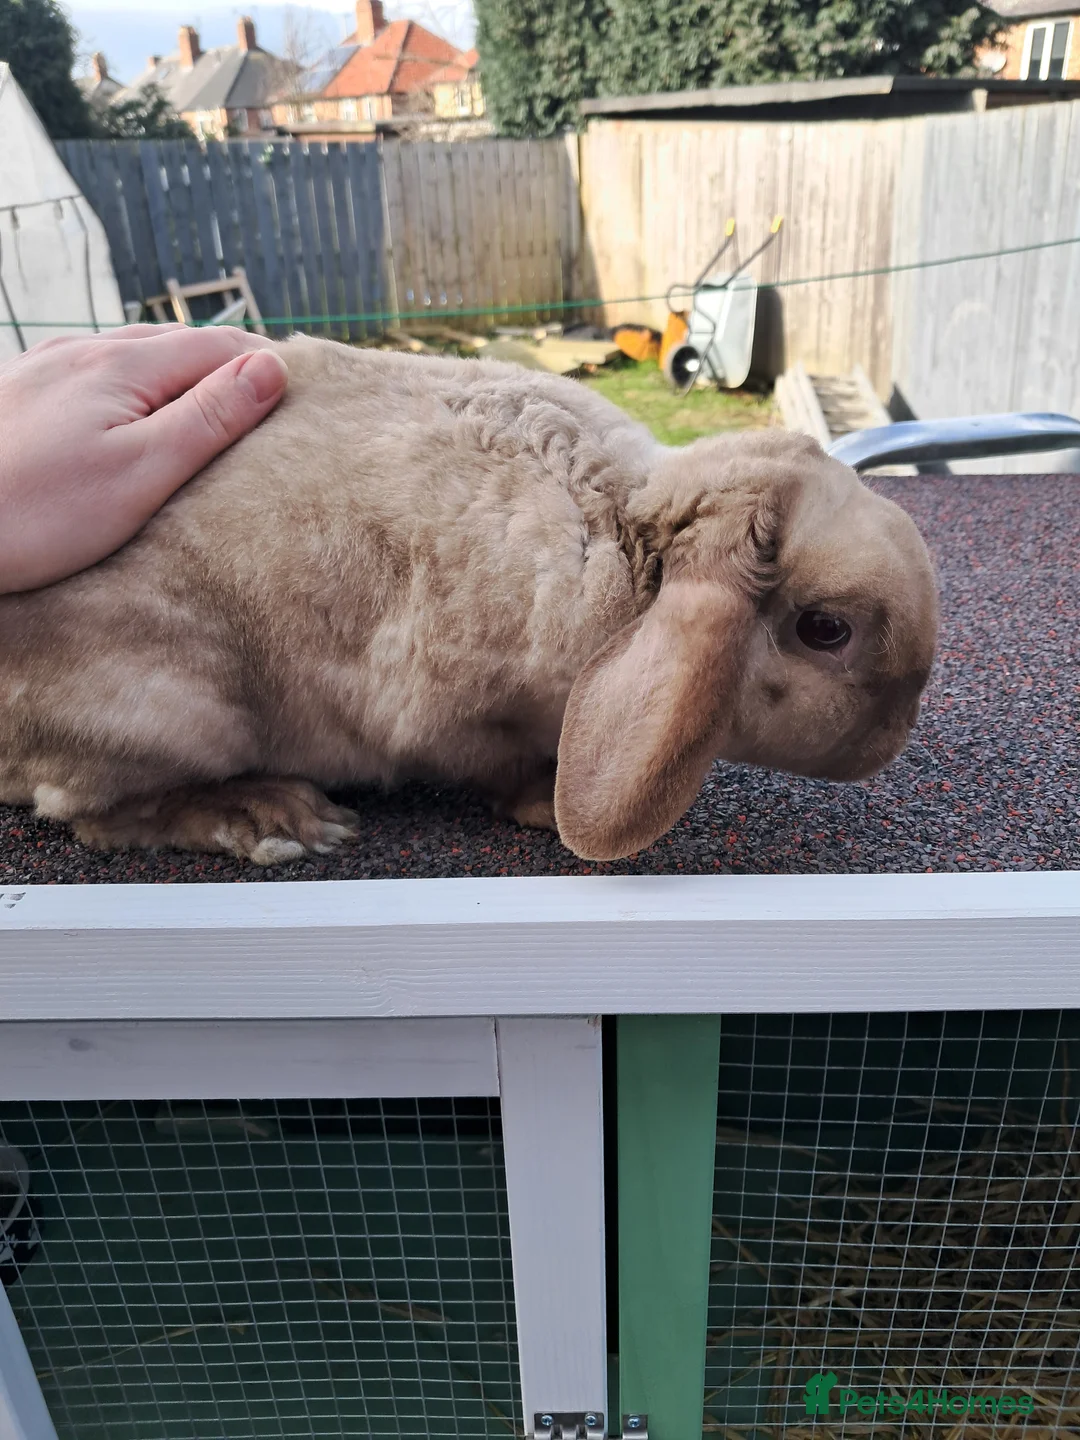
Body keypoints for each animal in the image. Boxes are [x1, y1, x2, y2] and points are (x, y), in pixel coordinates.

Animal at [0, 334, 938, 865]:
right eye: (826, 629)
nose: (890, 745)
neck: (631, 543)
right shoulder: (455, 716)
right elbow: (494, 770)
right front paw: (543, 809)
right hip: (173, 712)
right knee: (91, 815)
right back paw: (276, 818)